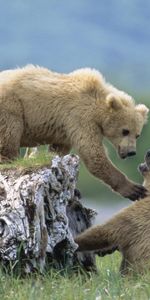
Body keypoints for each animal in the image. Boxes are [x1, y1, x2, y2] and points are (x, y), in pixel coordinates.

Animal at [0, 65, 148, 202]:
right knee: (10, 135)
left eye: (137, 135)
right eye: (125, 131)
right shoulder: (80, 118)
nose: (131, 152)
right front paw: (135, 189)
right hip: (11, 107)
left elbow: (59, 150)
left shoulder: (65, 128)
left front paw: (74, 188)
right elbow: (93, 153)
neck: (98, 110)